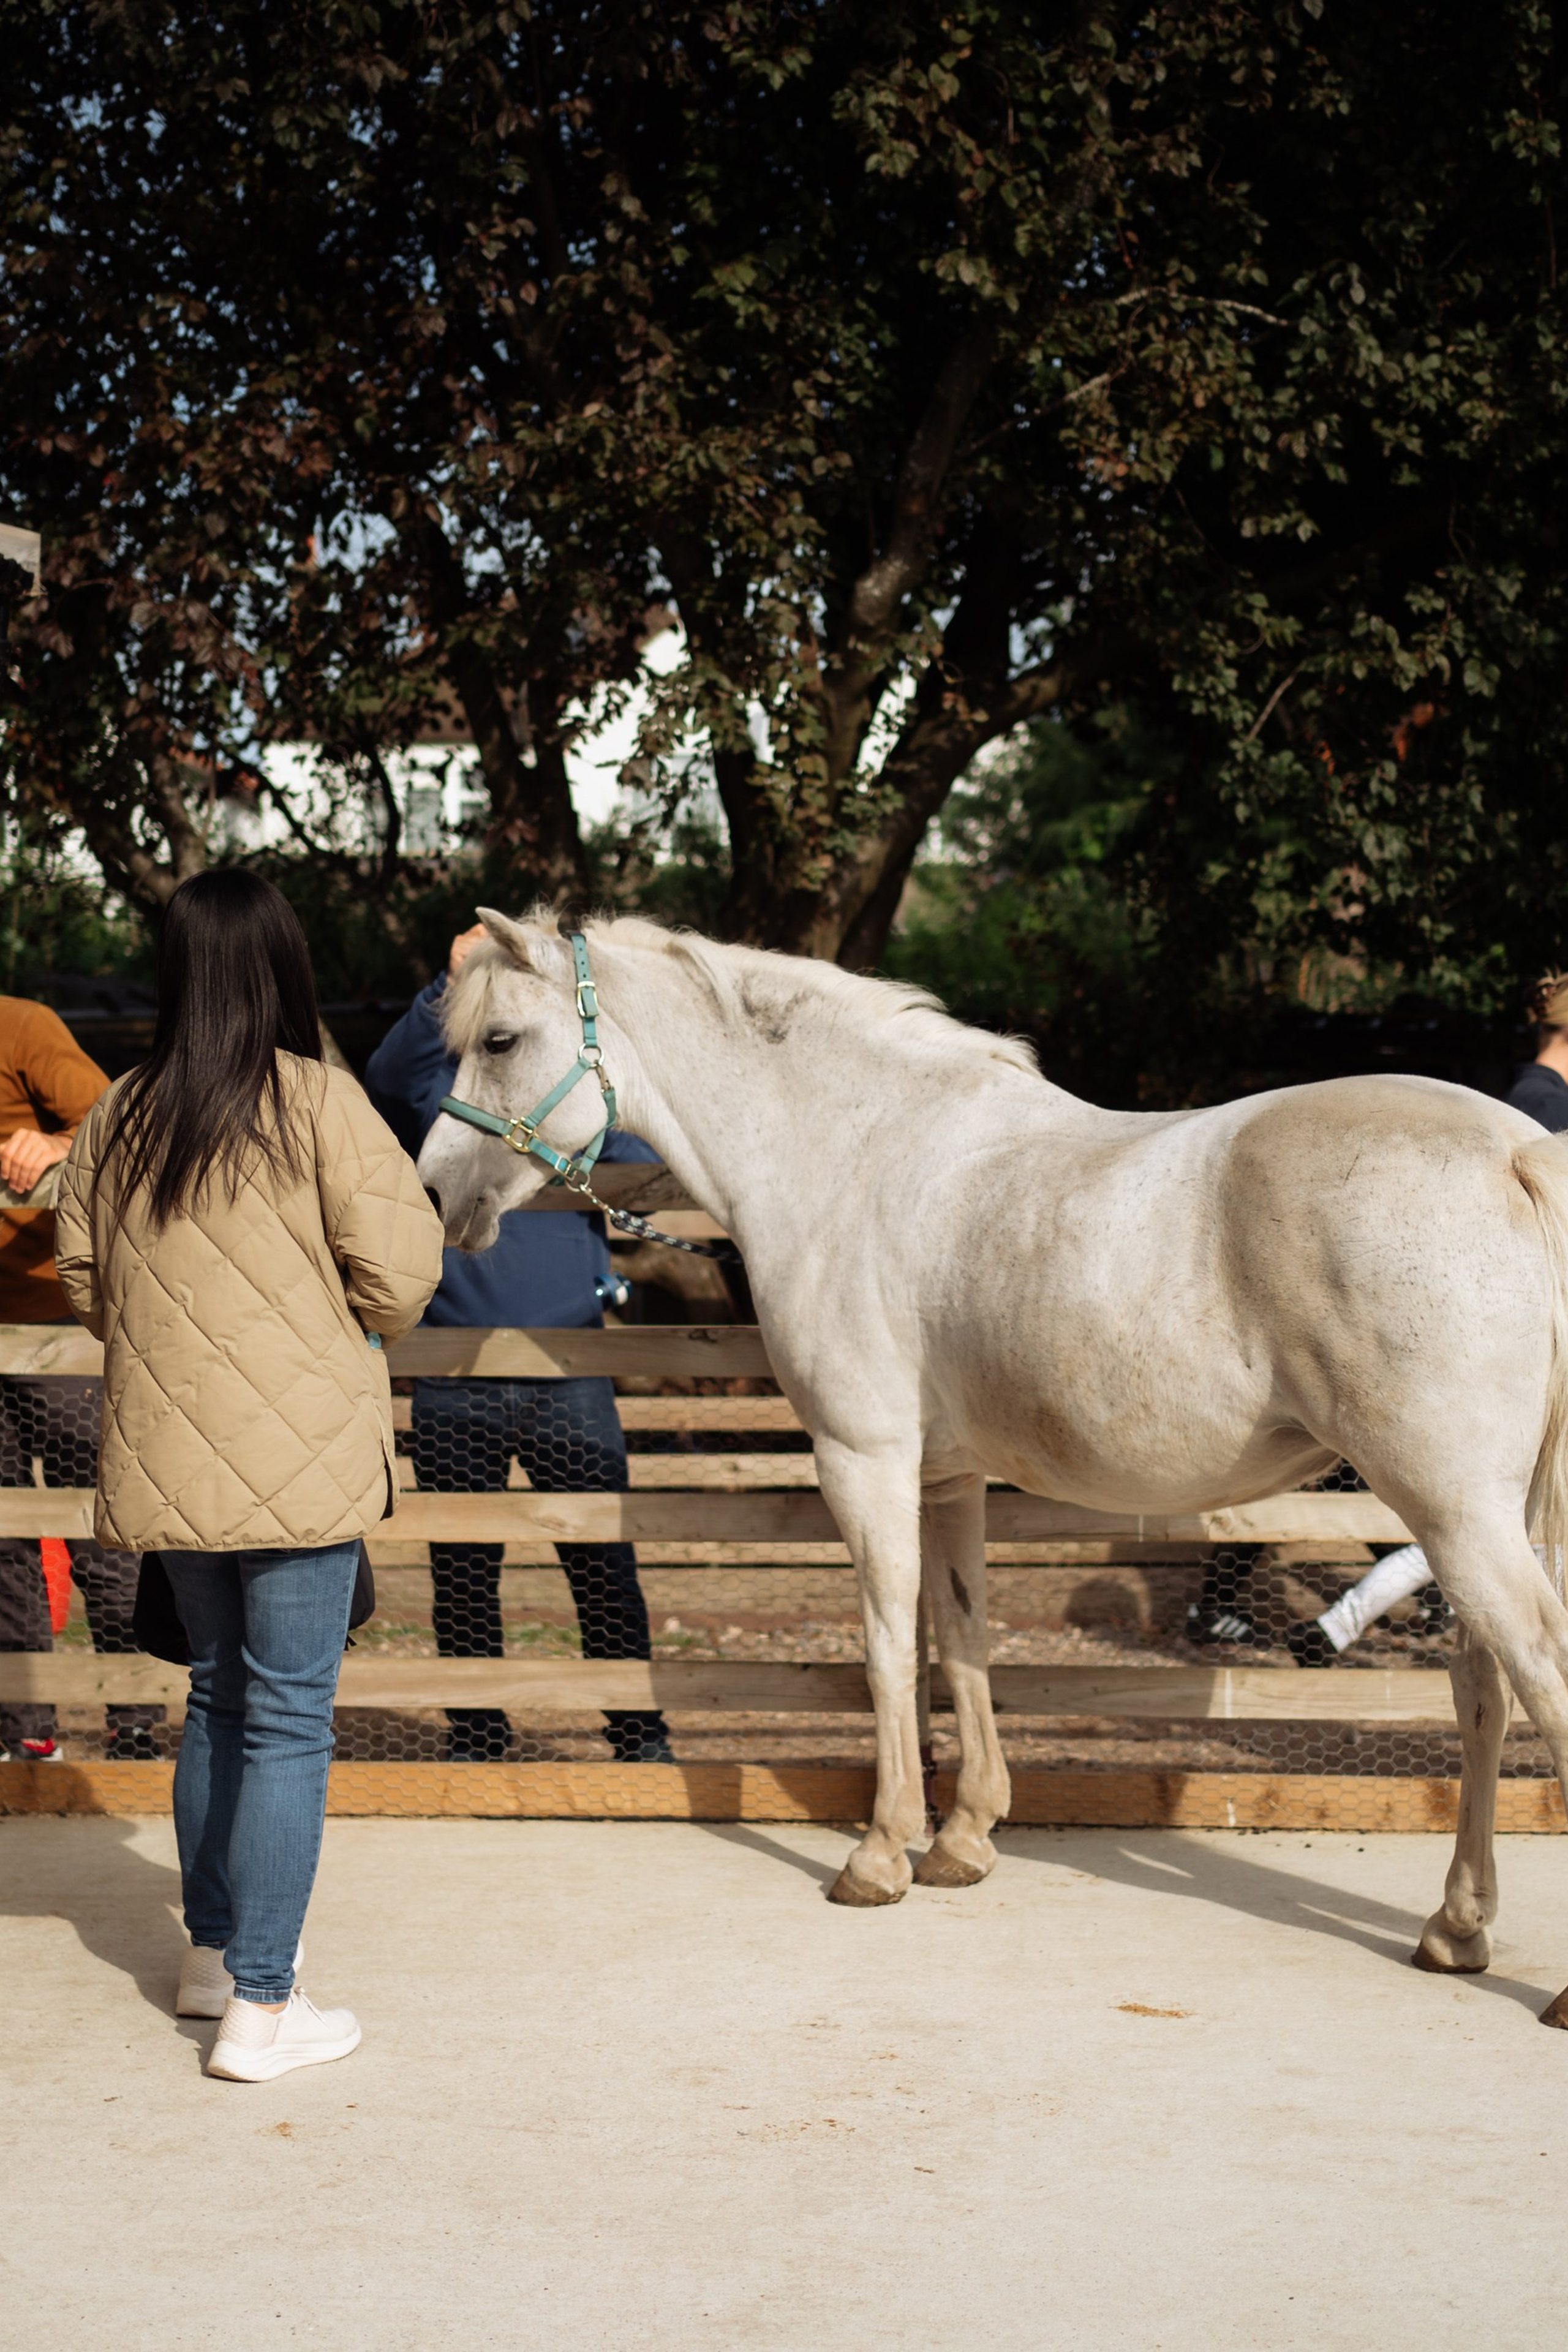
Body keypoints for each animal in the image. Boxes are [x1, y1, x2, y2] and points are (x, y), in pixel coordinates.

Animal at [417, 909, 1568, 2021]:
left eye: (500, 1039)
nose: (433, 1193)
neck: (852, 1154)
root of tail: (1516, 1153)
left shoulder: (865, 1461)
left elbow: (891, 1650)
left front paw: (881, 1856)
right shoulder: (945, 1478)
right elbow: (963, 1640)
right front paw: (966, 1839)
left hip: (1453, 1514)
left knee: (1533, 1673)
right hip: (1483, 1519)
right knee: (1483, 1688)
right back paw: (1455, 1929)